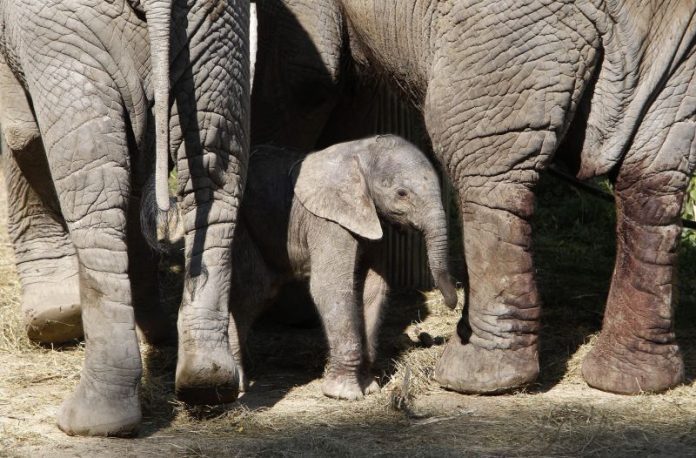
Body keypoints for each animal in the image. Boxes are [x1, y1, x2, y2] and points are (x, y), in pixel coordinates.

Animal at [0, 0, 249, 436]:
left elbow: (22, 136)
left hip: (62, 32)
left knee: (92, 178)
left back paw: (93, 421)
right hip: (214, 27)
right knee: (215, 168)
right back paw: (209, 380)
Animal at [224, 135, 457, 400]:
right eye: (401, 193)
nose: (452, 303)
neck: (360, 153)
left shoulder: (369, 219)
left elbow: (373, 288)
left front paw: (370, 387)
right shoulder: (328, 221)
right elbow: (330, 287)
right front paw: (345, 394)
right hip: (241, 227)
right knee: (254, 291)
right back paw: (237, 386)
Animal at [250, 0, 696, 395]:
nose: (446, 304)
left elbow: (305, 79)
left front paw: (287, 310)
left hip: (506, 35)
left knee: (484, 169)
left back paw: (480, 376)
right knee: (652, 179)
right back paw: (632, 380)